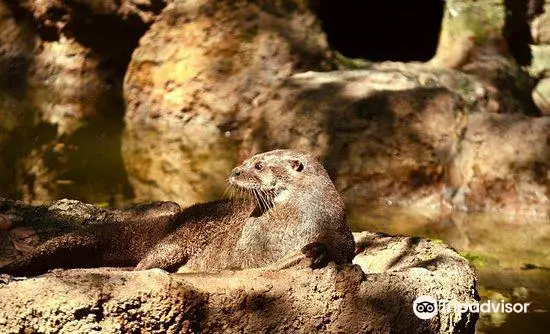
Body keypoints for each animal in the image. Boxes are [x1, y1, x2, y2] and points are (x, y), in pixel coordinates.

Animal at [0, 150, 356, 276]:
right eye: (249, 159)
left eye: (258, 165)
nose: (235, 170)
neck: (294, 221)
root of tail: (179, 218)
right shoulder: (250, 243)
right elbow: (240, 262)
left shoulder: (337, 227)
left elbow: (343, 250)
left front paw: (317, 251)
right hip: (182, 237)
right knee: (153, 256)